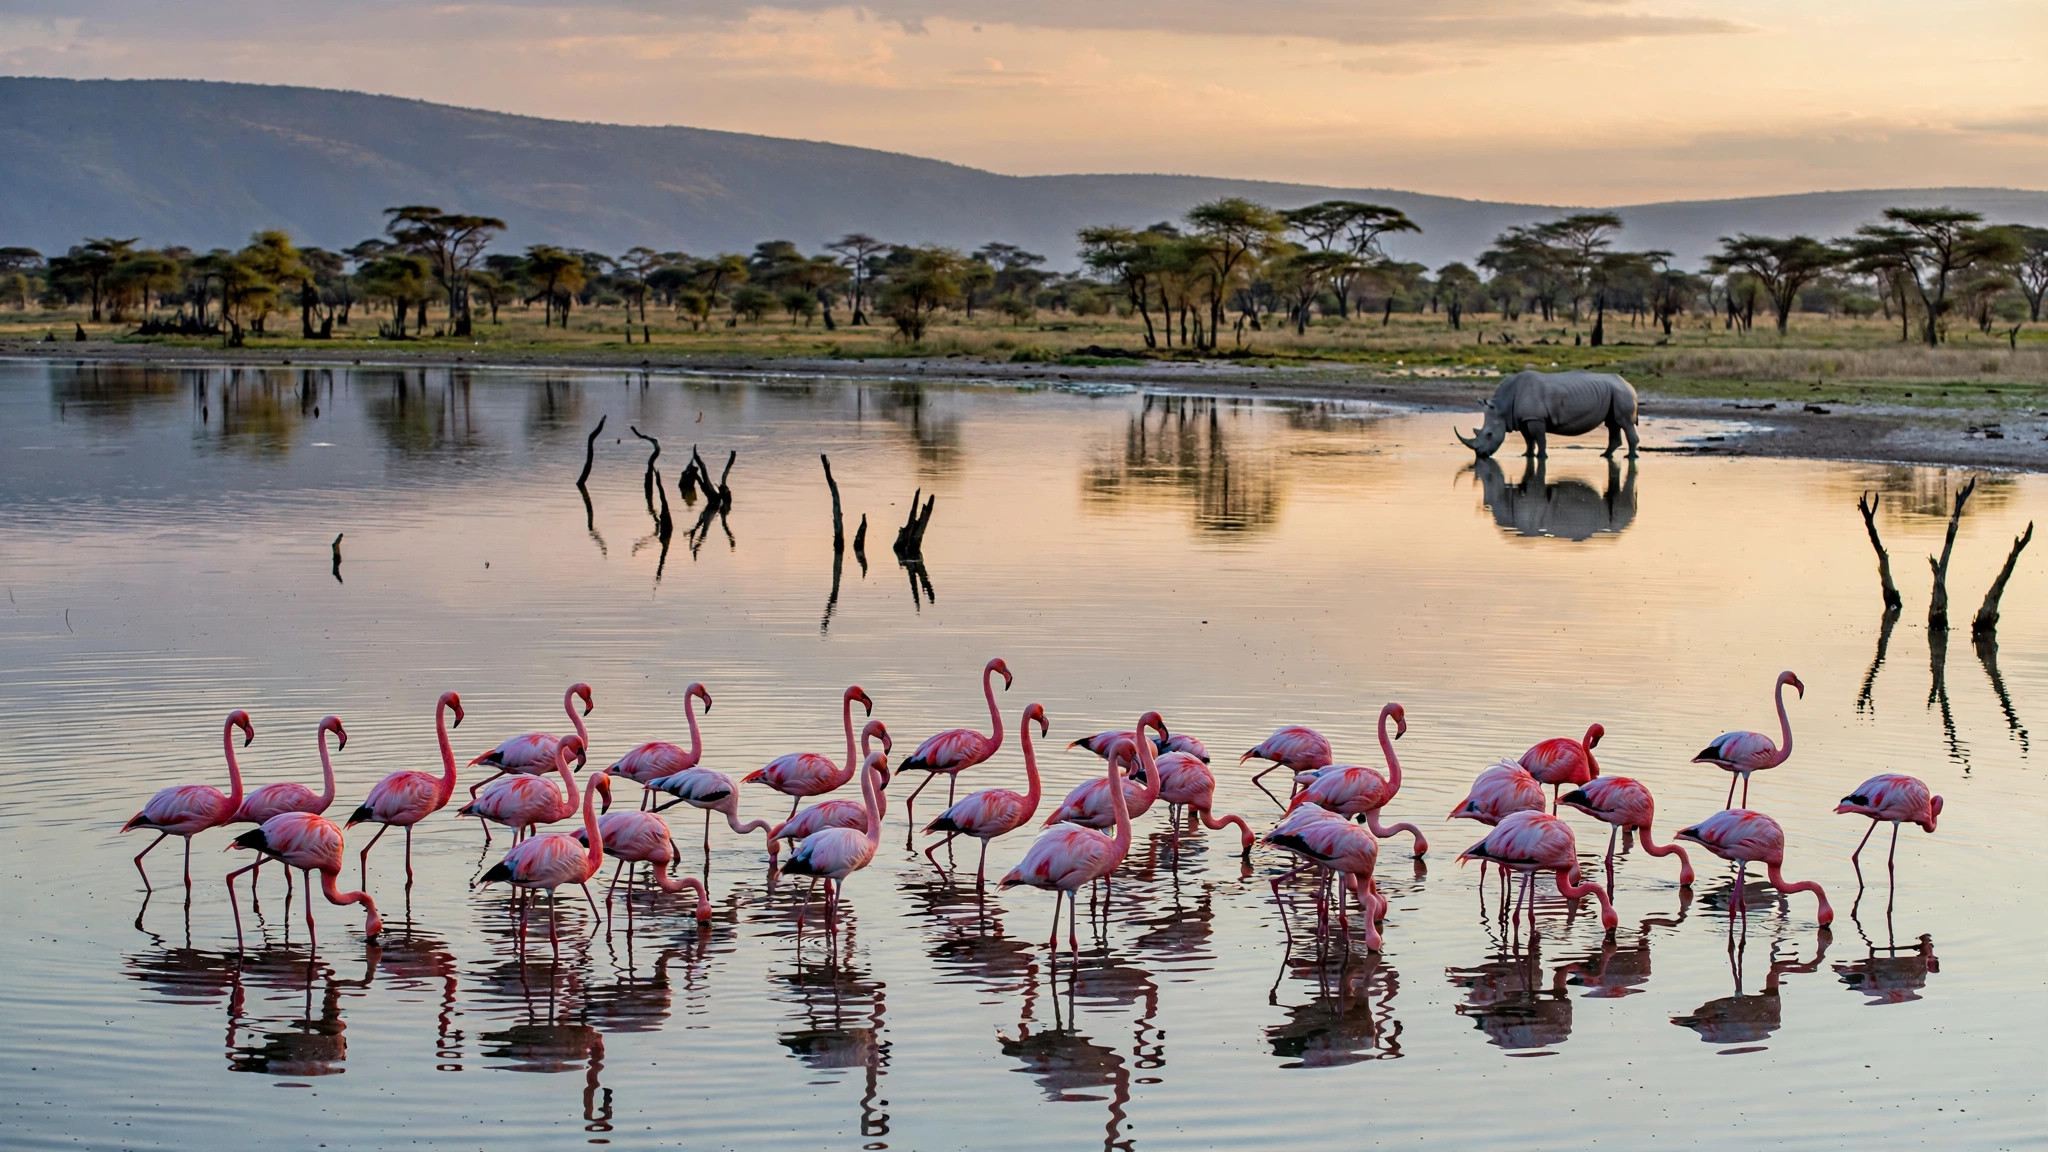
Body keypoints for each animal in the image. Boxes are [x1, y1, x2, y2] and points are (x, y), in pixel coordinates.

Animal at [1455, 370, 1640, 459]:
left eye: (1489, 434)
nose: (1480, 455)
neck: (1502, 407)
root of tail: (1630, 385)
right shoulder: (1523, 419)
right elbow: (1528, 439)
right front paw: (1527, 455)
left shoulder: (1535, 418)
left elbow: (1540, 438)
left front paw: (1542, 456)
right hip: (1614, 392)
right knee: (1613, 423)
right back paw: (1605, 455)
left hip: (1622, 393)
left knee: (1624, 422)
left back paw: (1630, 457)